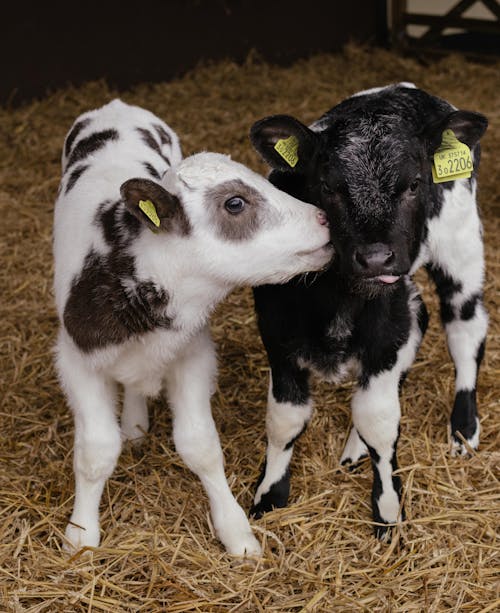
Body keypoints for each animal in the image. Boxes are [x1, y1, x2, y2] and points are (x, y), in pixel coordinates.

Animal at [52, 98, 334, 552]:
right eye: (234, 203)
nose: (324, 219)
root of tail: (117, 104)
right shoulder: (77, 358)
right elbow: (96, 452)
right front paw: (81, 535)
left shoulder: (192, 351)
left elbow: (201, 446)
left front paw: (236, 531)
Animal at [250, 83, 488, 536]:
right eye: (328, 187)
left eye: (414, 184)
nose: (376, 258)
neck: (336, 300)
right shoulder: (277, 336)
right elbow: (284, 420)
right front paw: (269, 492)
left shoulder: (383, 329)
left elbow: (378, 420)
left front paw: (389, 508)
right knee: (420, 322)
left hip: (459, 246)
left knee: (466, 325)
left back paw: (464, 427)